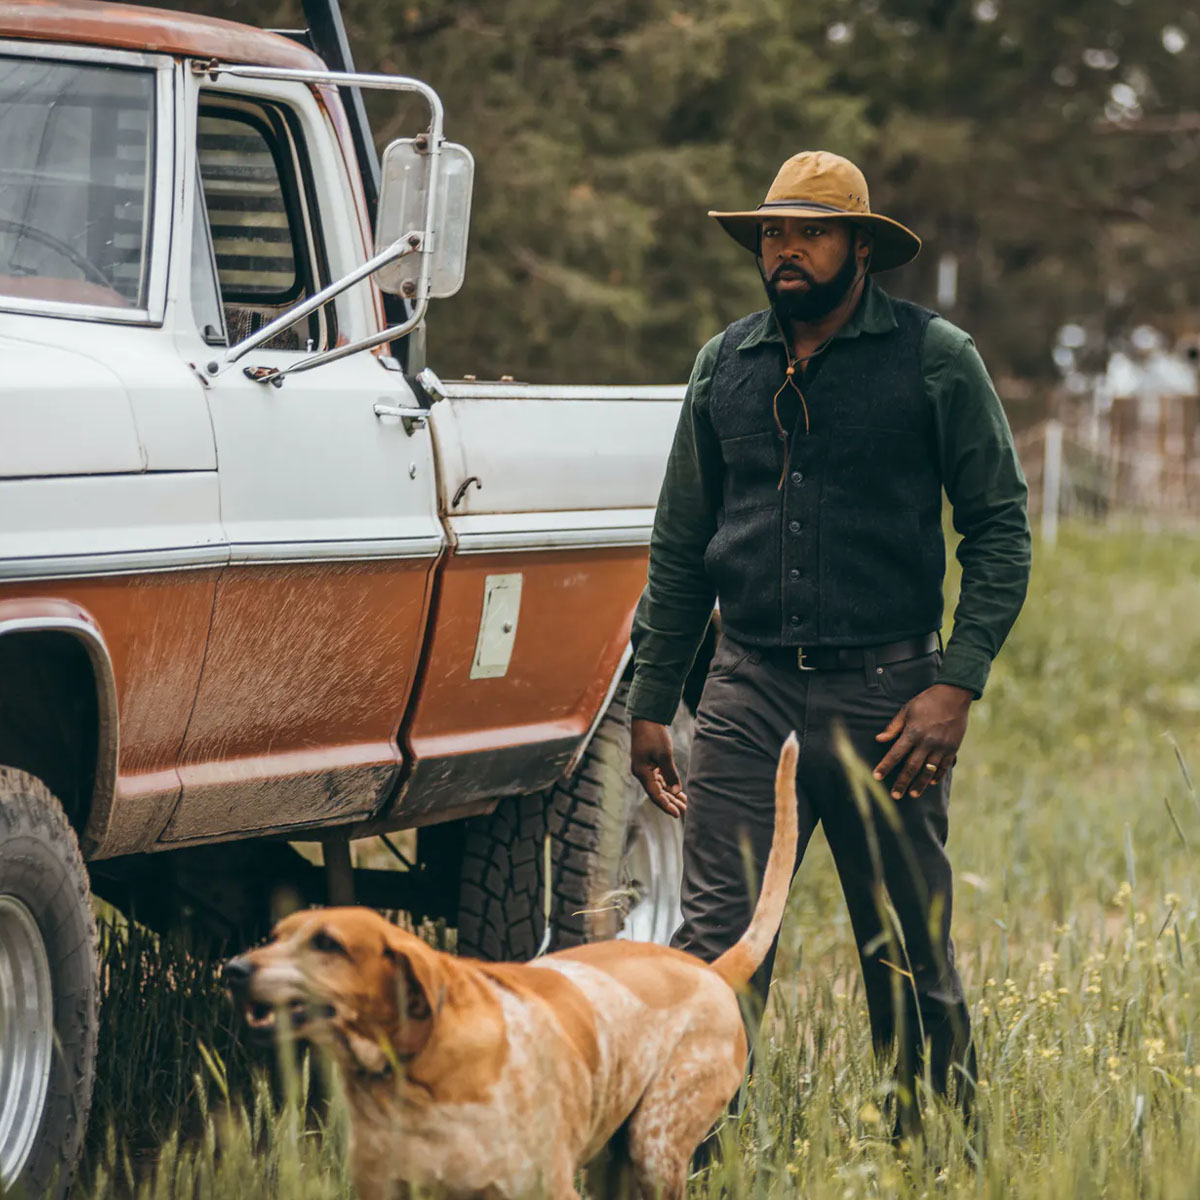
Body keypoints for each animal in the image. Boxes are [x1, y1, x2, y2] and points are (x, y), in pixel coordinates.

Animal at [225, 734, 796, 1195]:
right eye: (274, 936)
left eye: (328, 944)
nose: (234, 970)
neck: (416, 1081)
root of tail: (710, 971)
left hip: (653, 1148)